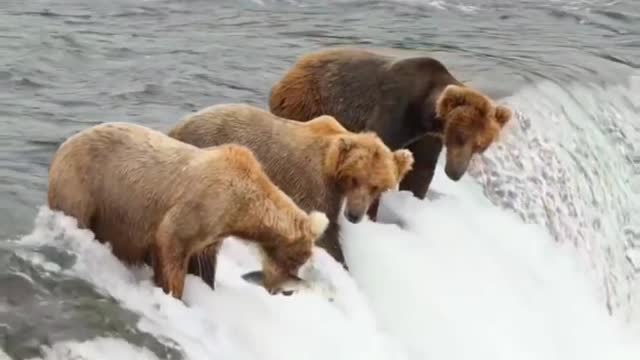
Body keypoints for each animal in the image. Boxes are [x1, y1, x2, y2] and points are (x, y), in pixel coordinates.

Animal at [48, 122, 330, 300]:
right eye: (295, 260)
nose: (286, 291)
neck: (242, 207)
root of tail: (64, 145)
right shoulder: (202, 204)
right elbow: (171, 244)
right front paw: (173, 293)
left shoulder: (215, 231)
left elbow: (203, 261)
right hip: (85, 187)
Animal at [168, 102, 416, 268]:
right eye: (355, 179)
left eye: (376, 187)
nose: (354, 215)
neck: (331, 166)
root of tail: (178, 125)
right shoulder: (313, 184)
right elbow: (326, 231)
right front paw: (341, 261)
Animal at [268, 47, 512, 219]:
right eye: (460, 137)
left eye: (480, 146)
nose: (455, 173)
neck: (422, 114)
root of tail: (291, 71)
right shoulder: (393, 110)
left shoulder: (426, 137)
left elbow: (420, 173)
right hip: (308, 103)